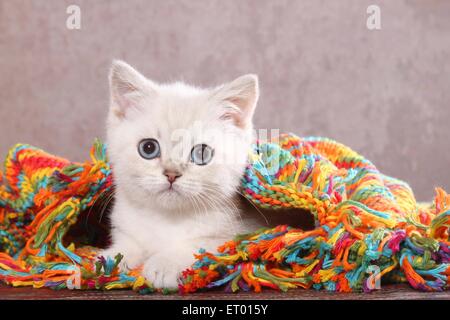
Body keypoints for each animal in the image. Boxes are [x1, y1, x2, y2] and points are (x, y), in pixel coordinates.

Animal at [100, 59, 262, 288]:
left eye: (201, 153)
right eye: (148, 148)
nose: (171, 174)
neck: (167, 220)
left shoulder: (242, 233)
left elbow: (203, 245)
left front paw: (164, 264)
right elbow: (130, 242)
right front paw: (113, 257)